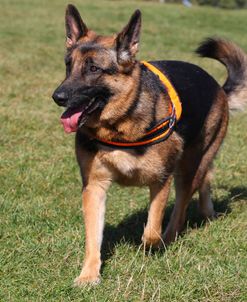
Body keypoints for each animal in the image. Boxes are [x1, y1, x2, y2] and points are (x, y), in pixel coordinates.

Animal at [52, 4, 247, 286]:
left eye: (94, 69)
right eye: (69, 66)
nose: (58, 97)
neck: (120, 126)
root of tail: (218, 87)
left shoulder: (161, 180)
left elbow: (151, 230)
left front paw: (151, 246)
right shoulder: (94, 187)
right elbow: (92, 237)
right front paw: (89, 275)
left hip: (188, 168)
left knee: (182, 205)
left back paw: (170, 237)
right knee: (206, 178)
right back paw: (207, 212)